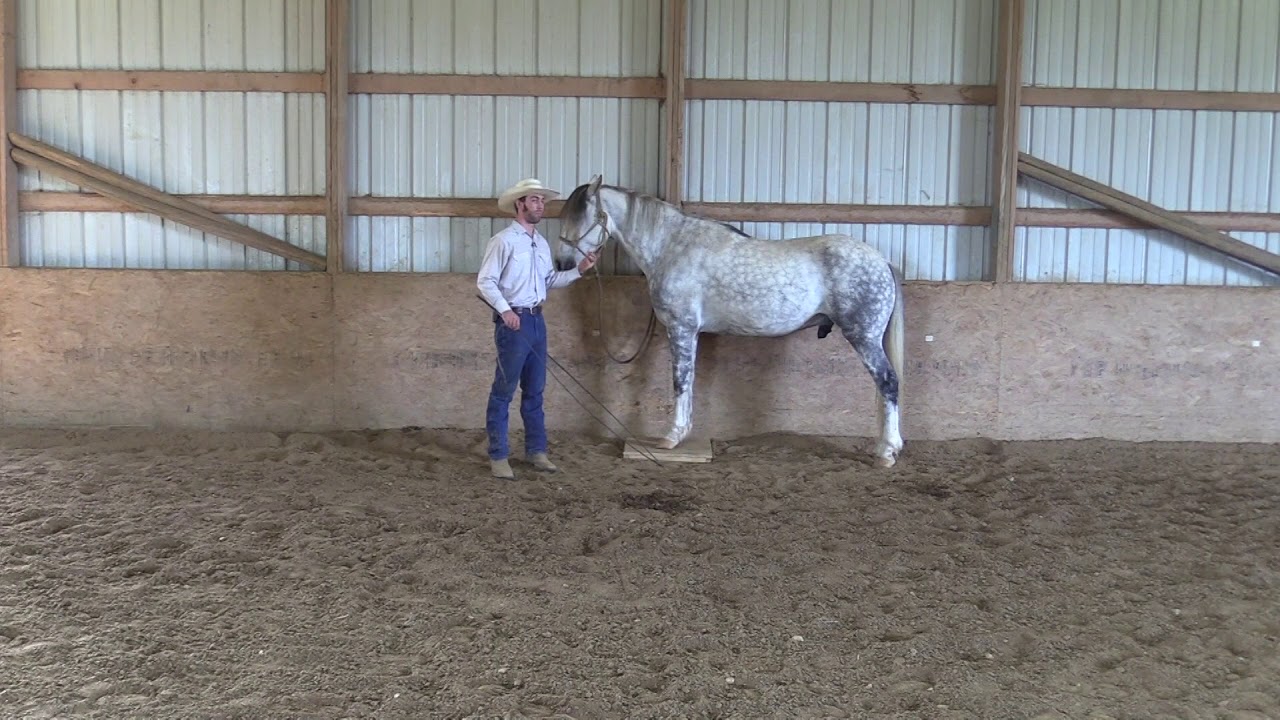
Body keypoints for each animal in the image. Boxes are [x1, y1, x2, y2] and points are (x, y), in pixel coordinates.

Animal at [554, 176, 906, 468]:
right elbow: (688, 380)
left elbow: (680, 380)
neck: (672, 246)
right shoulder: (690, 332)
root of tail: (881, 260)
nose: (561, 263)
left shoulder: (681, 329)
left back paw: (886, 452)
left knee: (888, 382)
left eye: (580, 215)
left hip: (864, 337)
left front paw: (671, 437)